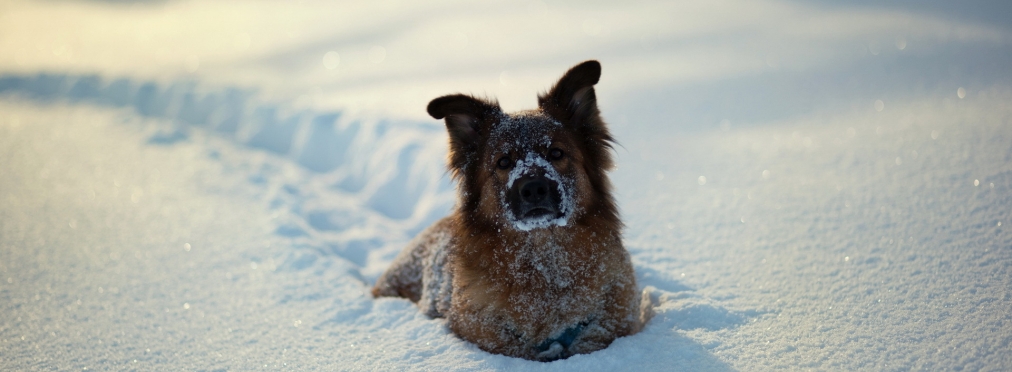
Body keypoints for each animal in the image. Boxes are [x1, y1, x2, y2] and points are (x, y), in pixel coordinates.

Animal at [372, 60, 639, 359]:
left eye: (556, 153)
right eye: (503, 162)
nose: (534, 188)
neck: (543, 263)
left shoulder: (618, 311)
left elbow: (596, 337)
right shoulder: (477, 326)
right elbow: (513, 348)